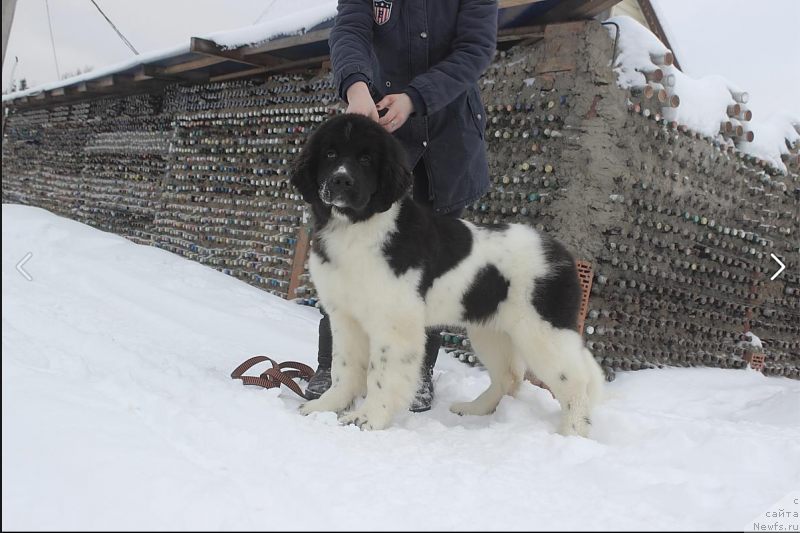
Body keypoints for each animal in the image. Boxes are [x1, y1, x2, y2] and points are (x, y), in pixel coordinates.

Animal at [290, 114, 604, 434]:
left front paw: (367, 418)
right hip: (492, 330)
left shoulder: (393, 320)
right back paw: (473, 410)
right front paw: (325, 407)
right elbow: (345, 367)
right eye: (330, 154)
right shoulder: (345, 316)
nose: (341, 180)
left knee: (576, 382)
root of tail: (563, 255)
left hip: (542, 331)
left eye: (366, 159)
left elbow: (382, 373)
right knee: (510, 377)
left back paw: (572, 433)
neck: (357, 227)